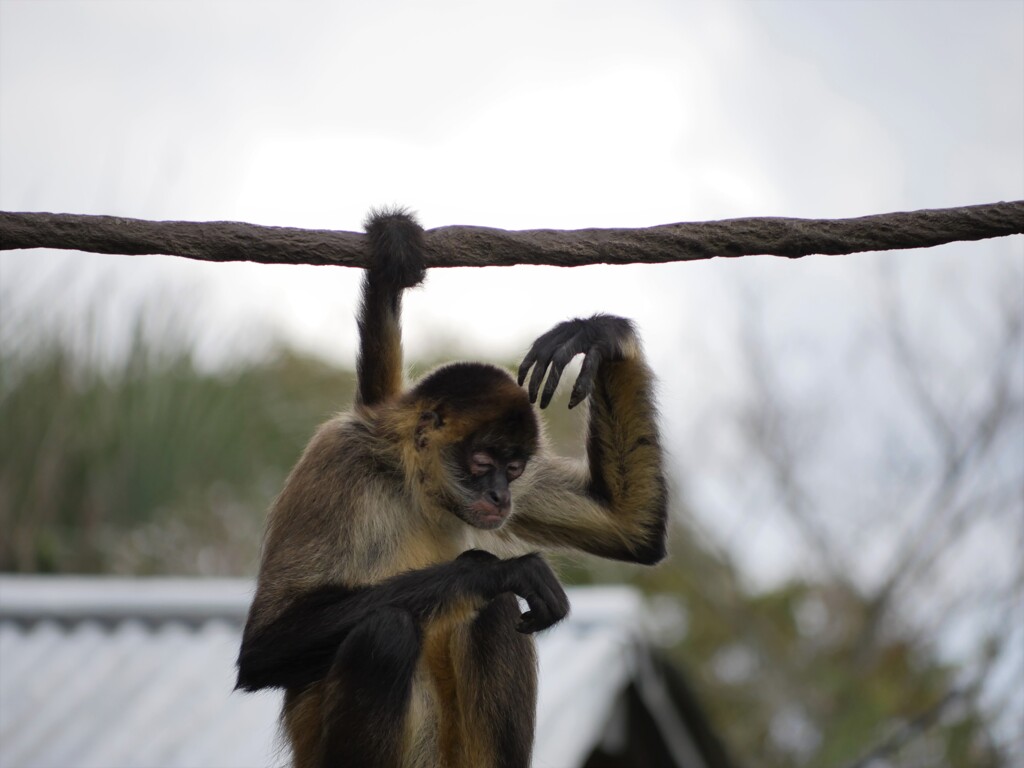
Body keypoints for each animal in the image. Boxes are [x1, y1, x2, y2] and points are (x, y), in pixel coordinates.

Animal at [234, 207, 667, 765]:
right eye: (482, 464)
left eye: (514, 469)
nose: (501, 497)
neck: (411, 487)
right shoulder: (341, 458)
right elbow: (261, 651)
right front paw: (491, 570)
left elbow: (631, 529)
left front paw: (598, 335)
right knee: (388, 632)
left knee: (495, 615)